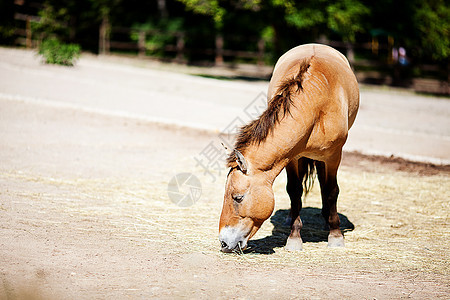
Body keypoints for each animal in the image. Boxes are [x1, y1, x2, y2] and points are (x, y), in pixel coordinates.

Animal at [218, 43, 358, 252]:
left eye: (238, 198)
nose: (224, 242)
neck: (316, 105)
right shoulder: (292, 157)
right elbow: (294, 190)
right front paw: (294, 237)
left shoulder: (334, 156)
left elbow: (332, 190)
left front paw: (335, 236)